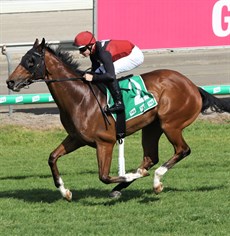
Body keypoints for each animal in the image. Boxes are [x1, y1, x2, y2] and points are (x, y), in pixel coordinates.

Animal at [6, 38, 229, 201]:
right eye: (23, 58)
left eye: (31, 61)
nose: (10, 81)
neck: (80, 98)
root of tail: (193, 86)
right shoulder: (76, 138)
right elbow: (52, 157)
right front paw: (65, 191)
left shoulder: (105, 142)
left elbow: (103, 176)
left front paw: (132, 175)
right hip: (152, 127)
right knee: (150, 157)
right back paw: (127, 184)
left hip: (170, 124)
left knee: (182, 150)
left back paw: (155, 181)